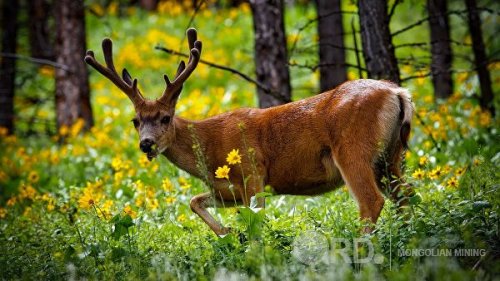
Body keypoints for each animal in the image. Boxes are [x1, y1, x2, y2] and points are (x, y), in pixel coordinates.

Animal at [85, 27, 414, 234]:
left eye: (165, 118)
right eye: (135, 120)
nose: (147, 144)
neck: (209, 148)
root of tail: (398, 93)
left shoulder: (253, 173)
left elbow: (257, 223)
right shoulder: (227, 190)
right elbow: (193, 201)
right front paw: (227, 231)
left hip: (353, 150)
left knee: (372, 201)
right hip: (391, 155)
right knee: (406, 195)